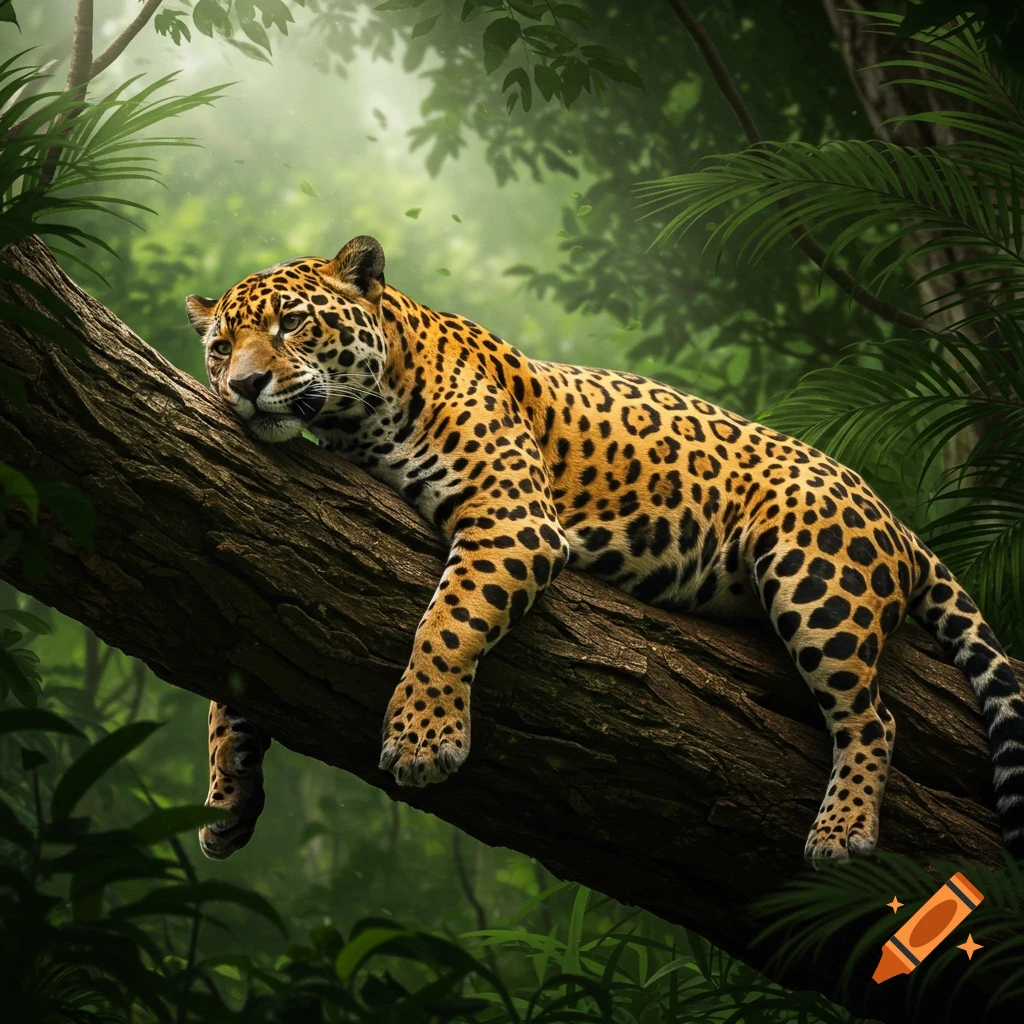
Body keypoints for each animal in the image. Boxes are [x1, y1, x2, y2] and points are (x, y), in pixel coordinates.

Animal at [186, 235, 1024, 864]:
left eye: (293, 324)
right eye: (221, 346)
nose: (243, 385)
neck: (361, 415)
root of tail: (891, 513)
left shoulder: (512, 515)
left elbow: (446, 625)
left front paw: (424, 739)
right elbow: (235, 675)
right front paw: (227, 793)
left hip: (819, 578)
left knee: (873, 719)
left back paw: (842, 830)